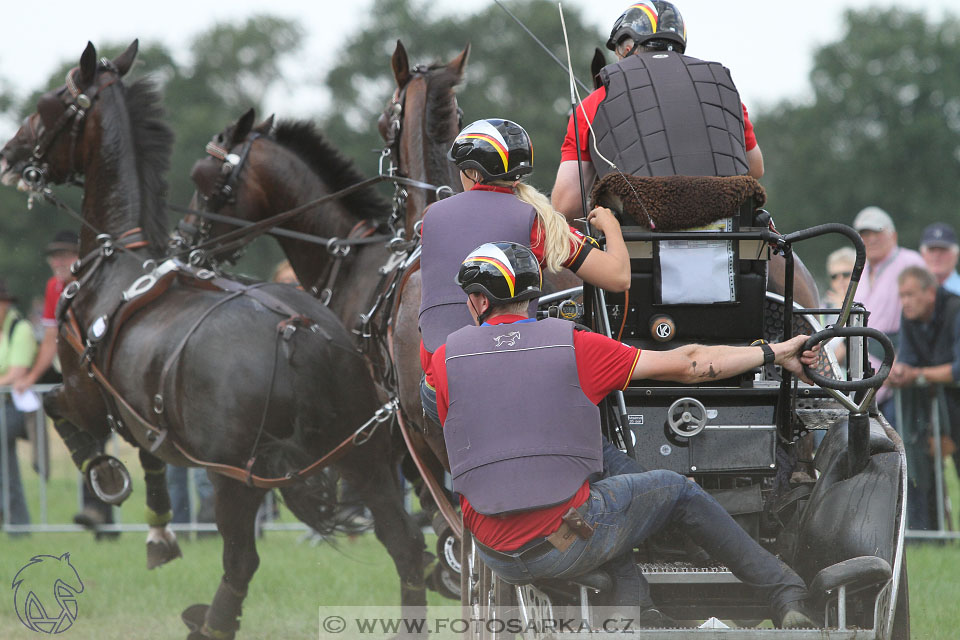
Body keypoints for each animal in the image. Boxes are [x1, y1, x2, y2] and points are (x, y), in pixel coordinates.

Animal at [0, 42, 428, 636]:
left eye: (53, 103)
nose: (11, 152)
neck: (113, 264)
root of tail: (298, 335)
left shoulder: (84, 392)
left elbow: (60, 415)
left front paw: (105, 482)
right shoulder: (144, 415)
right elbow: (150, 456)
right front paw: (158, 527)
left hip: (237, 479)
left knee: (241, 561)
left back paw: (211, 620)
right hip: (362, 457)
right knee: (406, 547)